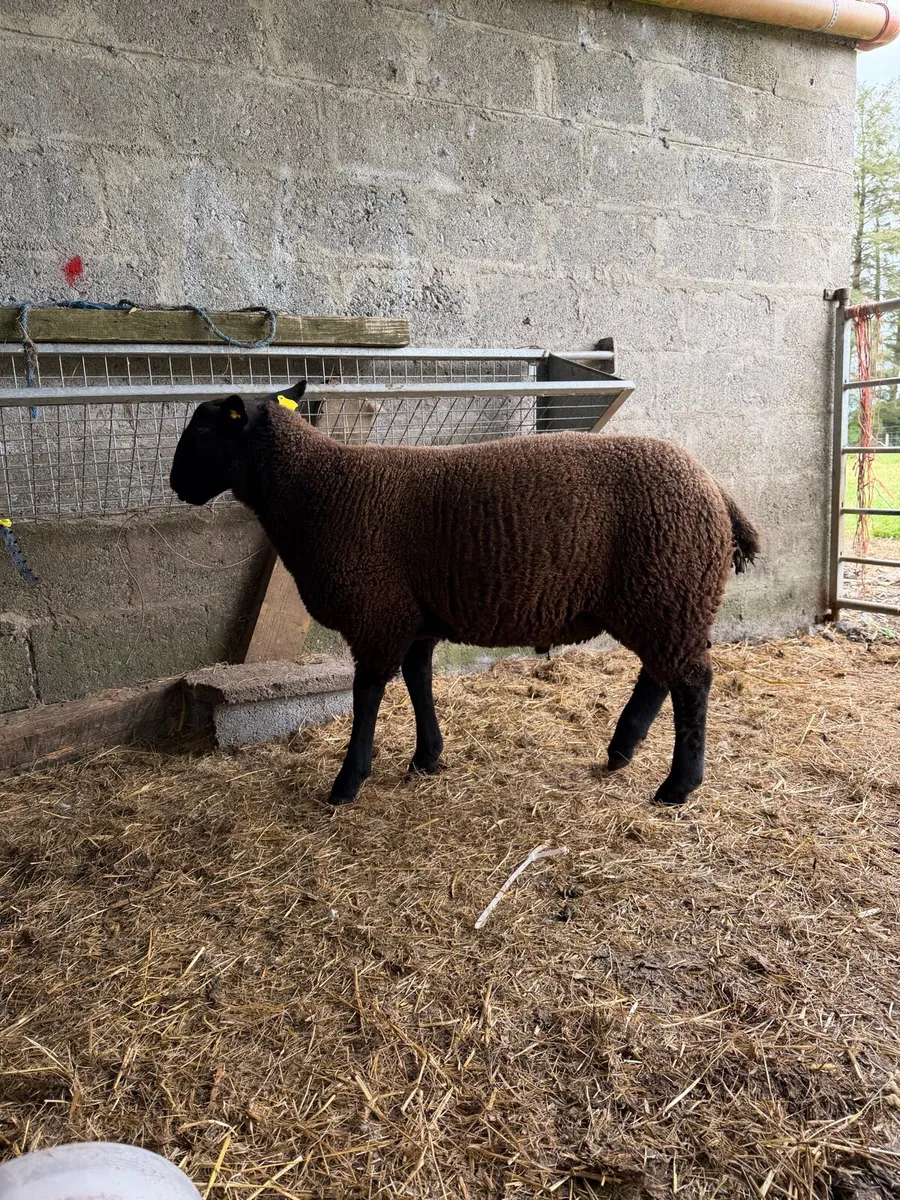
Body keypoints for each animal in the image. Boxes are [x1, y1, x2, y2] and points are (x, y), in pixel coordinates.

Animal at [170, 380, 760, 808]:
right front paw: (426, 757)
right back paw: (622, 750)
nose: (177, 485)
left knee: (692, 683)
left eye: (203, 430)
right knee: (663, 674)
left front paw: (348, 781)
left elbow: (367, 696)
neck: (318, 488)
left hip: (666, 590)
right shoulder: (414, 616)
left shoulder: (378, 613)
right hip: (665, 599)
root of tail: (717, 491)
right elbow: (419, 681)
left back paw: (677, 786)